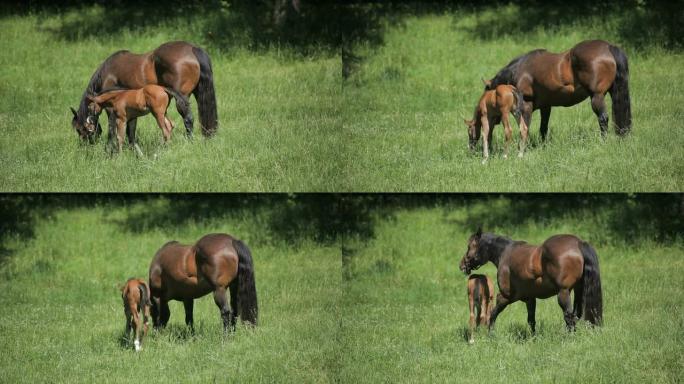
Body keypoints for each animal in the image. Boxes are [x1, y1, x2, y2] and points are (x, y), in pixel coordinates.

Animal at [70, 40, 215, 146]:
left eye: (78, 129)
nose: (87, 145)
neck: (107, 73)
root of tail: (192, 49)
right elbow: (130, 129)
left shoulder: (111, 108)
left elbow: (113, 128)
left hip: (182, 99)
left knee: (188, 119)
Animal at [460, 228, 604, 332]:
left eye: (469, 246)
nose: (462, 265)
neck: (505, 253)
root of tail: (578, 244)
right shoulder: (530, 298)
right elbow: (531, 320)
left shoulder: (507, 296)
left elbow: (493, 314)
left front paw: (490, 333)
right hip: (578, 290)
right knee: (576, 314)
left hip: (563, 293)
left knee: (569, 317)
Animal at [486, 39, 632, 140]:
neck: (518, 70)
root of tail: (608, 47)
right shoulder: (546, 107)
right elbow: (543, 127)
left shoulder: (526, 105)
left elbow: (525, 127)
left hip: (597, 96)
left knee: (603, 118)